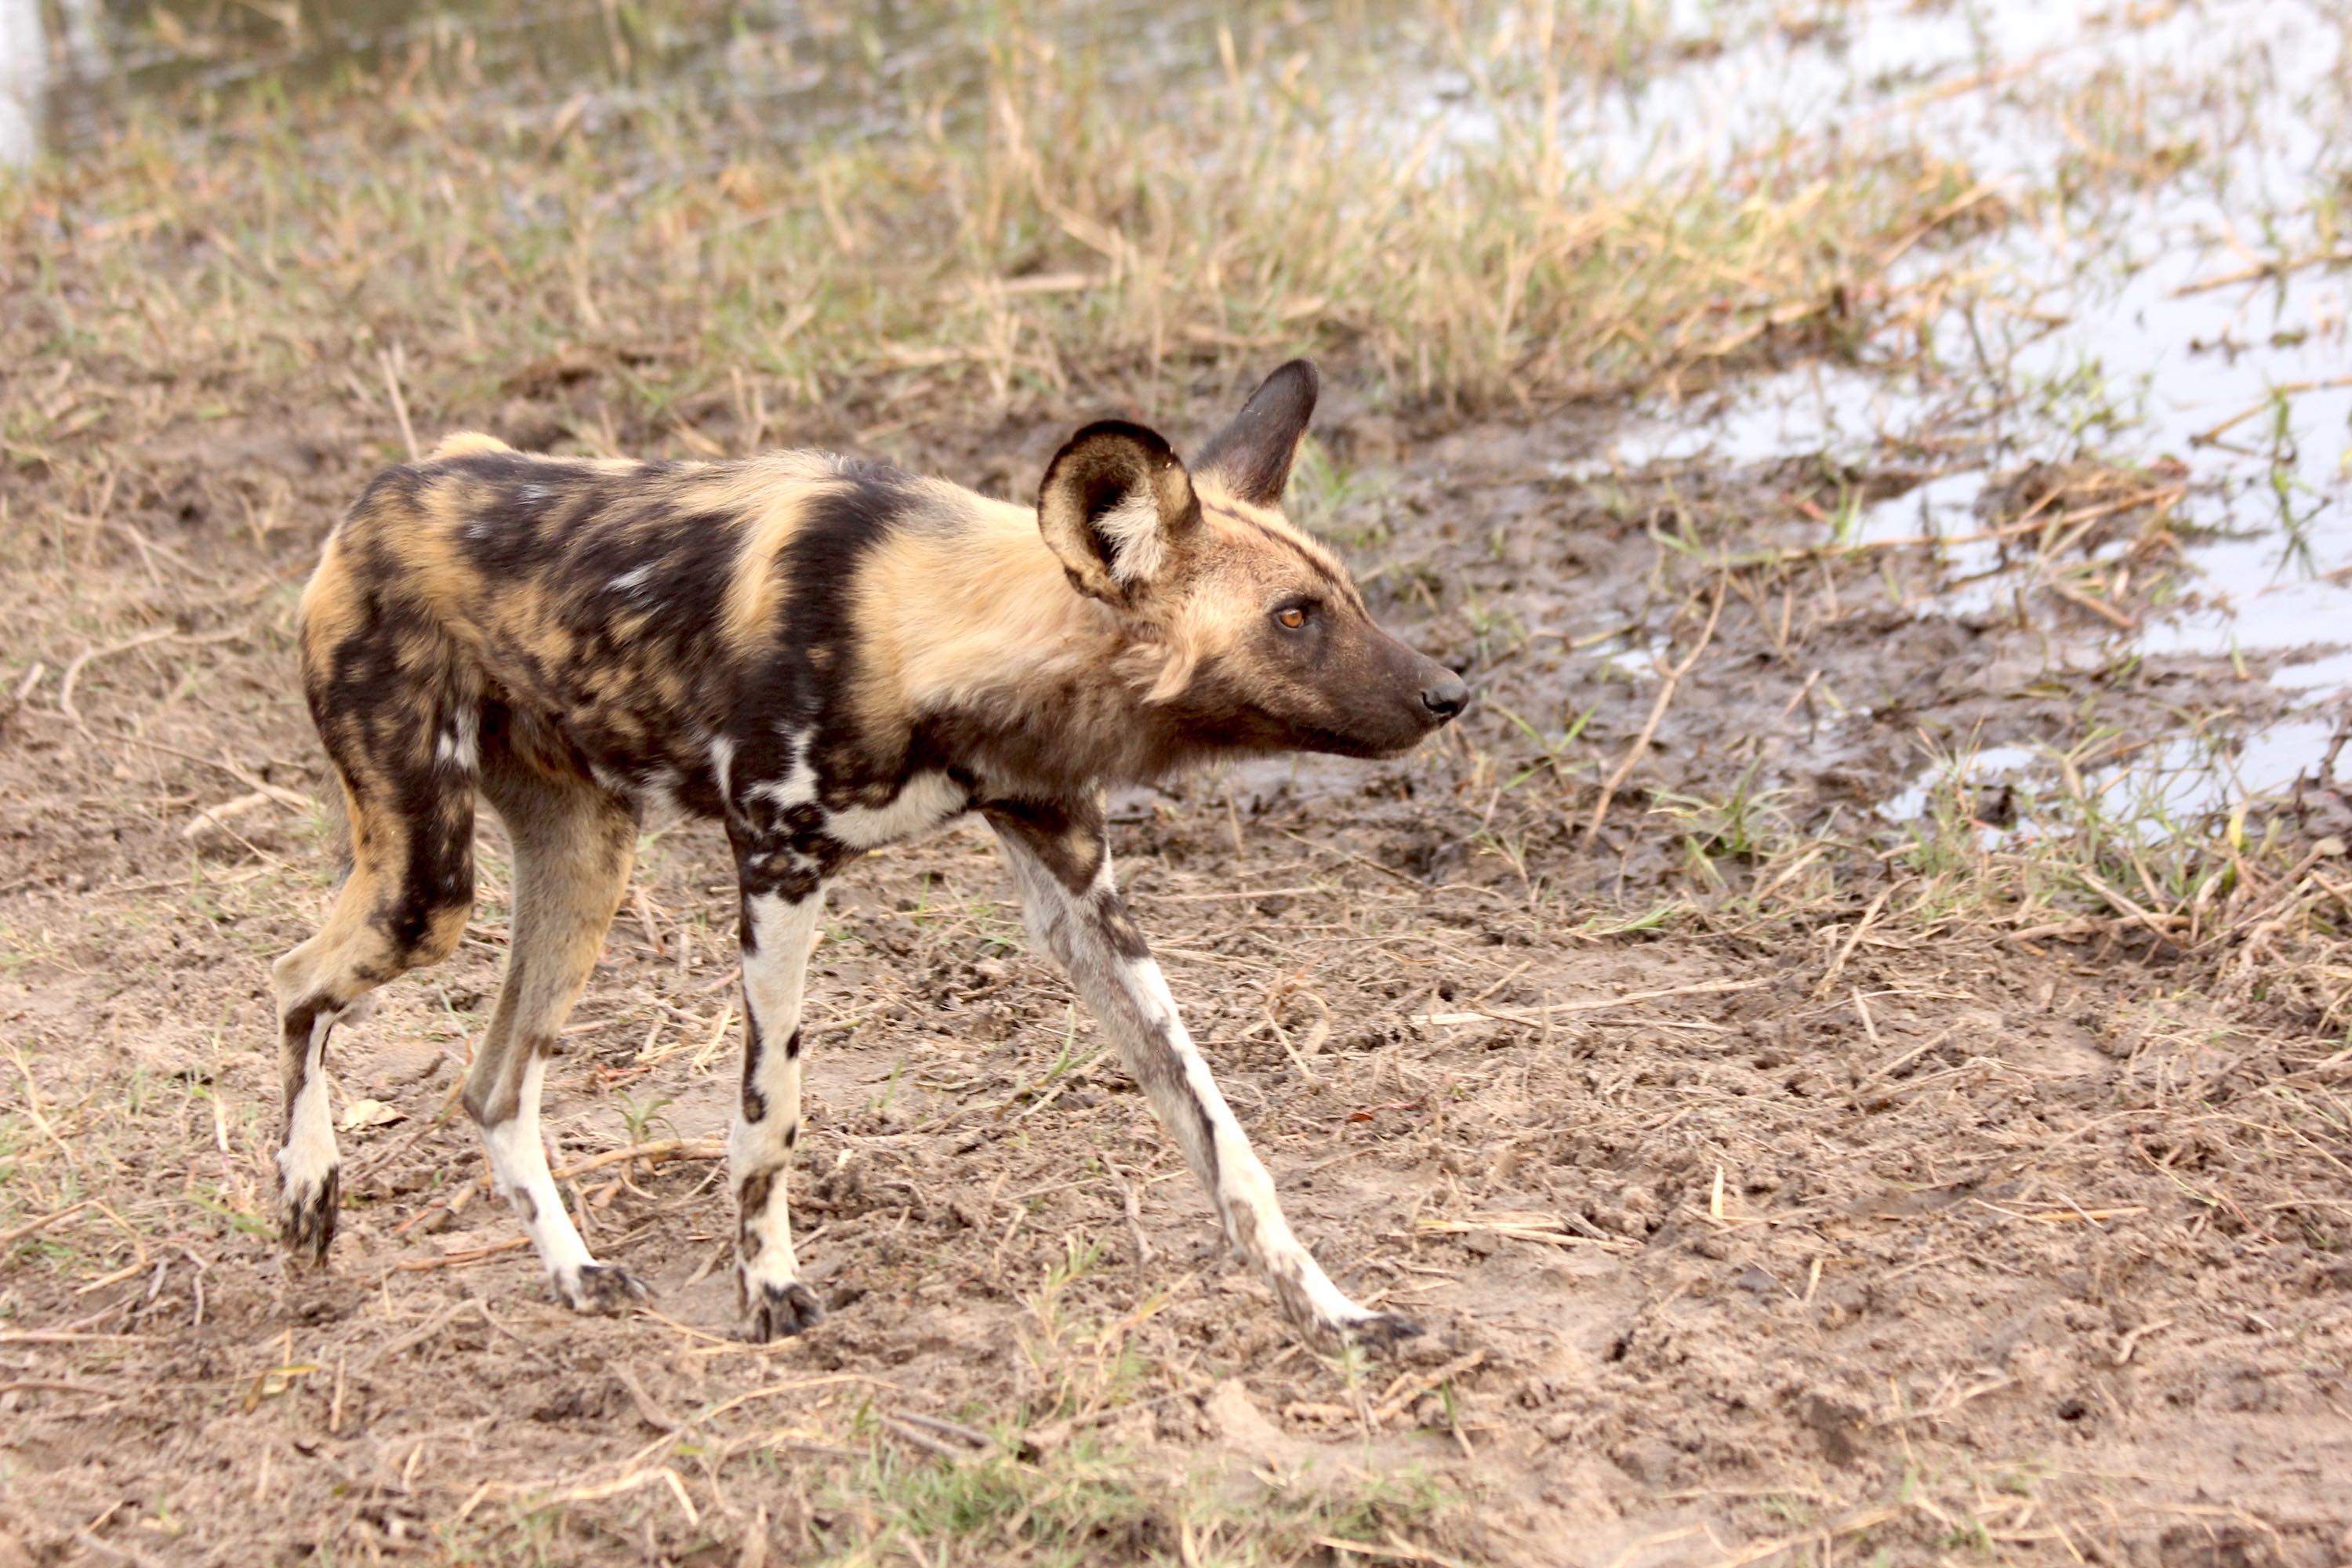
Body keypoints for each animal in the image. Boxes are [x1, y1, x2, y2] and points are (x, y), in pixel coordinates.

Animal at [270, 364, 1449, 1354]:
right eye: (1293, 618)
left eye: (1344, 597)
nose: (1453, 691)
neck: (930, 625)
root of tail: (381, 490)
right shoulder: (777, 865)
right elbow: (770, 1118)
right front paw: (768, 1293)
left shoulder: (1078, 891)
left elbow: (1223, 1135)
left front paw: (1331, 1312)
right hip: (427, 891)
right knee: (294, 982)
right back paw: (305, 1192)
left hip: (585, 867)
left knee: (492, 1084)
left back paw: (573, 1271)